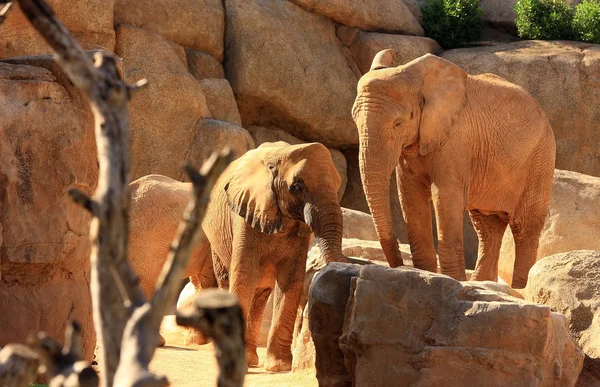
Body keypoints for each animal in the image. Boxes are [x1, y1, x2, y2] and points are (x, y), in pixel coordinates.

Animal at [354, 50, 556, 288]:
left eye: (398, 123)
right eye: (354, 120)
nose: (399, 264)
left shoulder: (455, 139)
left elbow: (445, 196)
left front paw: (451, 279)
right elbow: (410, 195)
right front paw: (425, 273)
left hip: (540, 159)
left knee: (525, 228)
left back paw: (518, 289)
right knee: (488, 226)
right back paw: (482, 282)